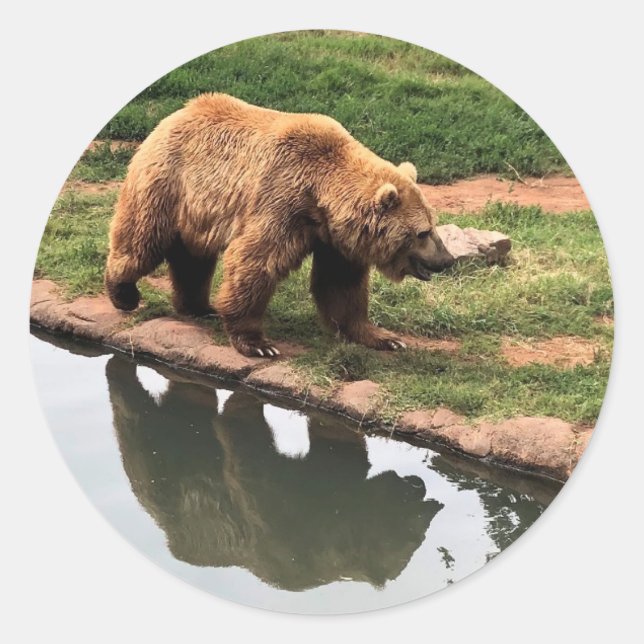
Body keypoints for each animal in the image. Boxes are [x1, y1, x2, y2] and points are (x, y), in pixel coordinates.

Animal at [105, 93, 455, 357]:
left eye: (433, 225)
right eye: (423, 233)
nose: (447, 260)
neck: (321, 193)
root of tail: (174, 114)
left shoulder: (333, 238)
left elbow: (341, 285)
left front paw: (383, 336)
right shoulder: (282, 200)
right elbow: (256, 261)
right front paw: (258, 344)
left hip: (196, 207)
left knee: (193, 258)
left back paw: (198, 307)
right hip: (169, 182)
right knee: (142, 239)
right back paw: (124, 293)